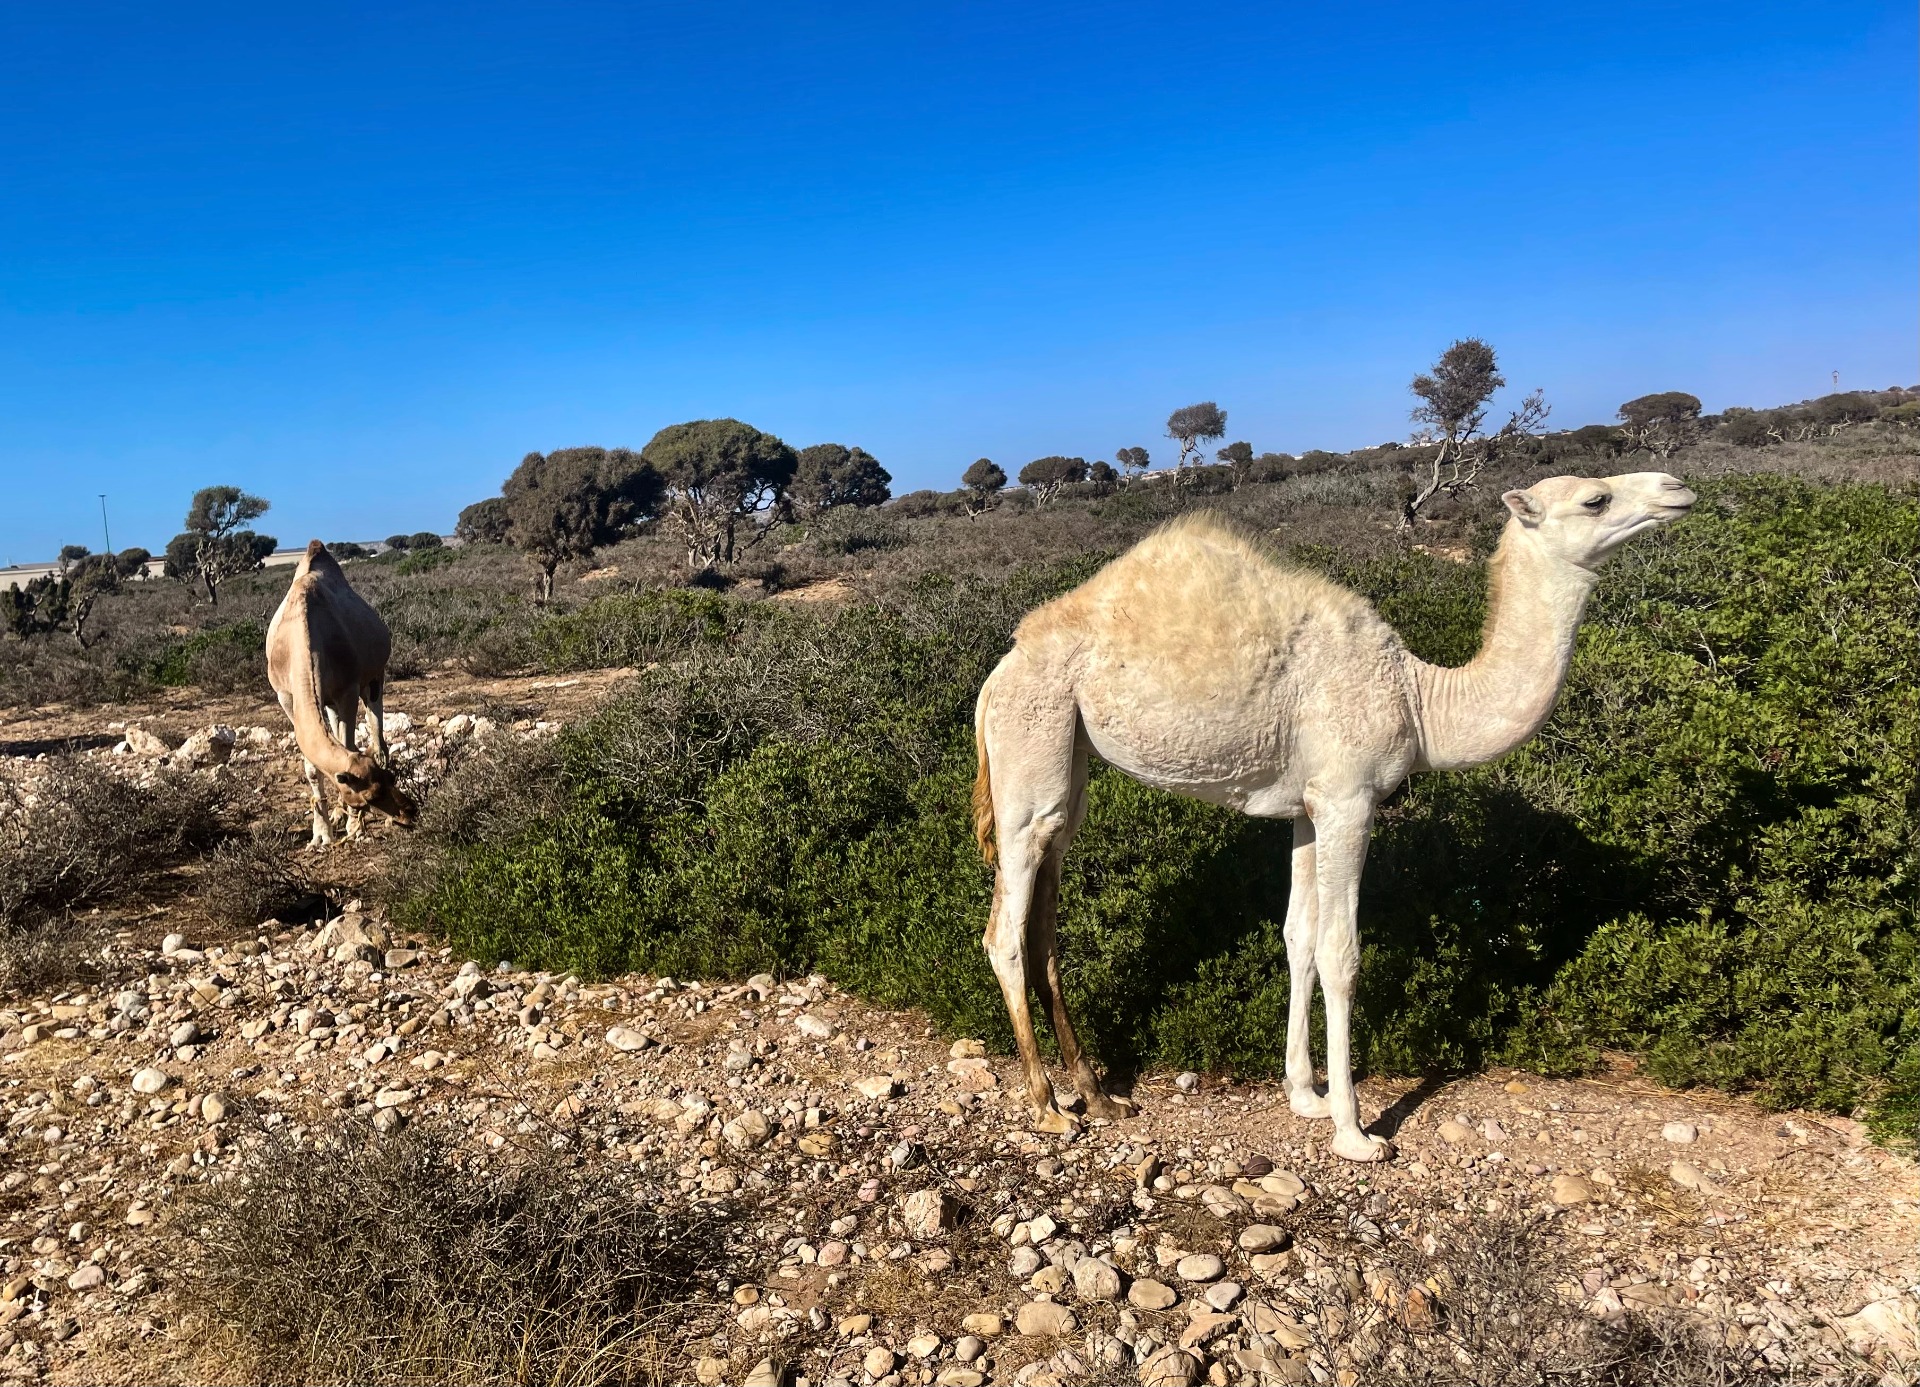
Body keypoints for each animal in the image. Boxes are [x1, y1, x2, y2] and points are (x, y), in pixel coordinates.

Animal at [266, 541, 417, 847]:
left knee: (377, 736)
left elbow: (351, 745)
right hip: (330, 700)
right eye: (371, 794)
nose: (410, 811)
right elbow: (313, 766)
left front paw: (356, 828)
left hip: (374, 678)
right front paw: (321, 834)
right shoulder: (287, 698)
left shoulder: (348, 689)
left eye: (390, 778)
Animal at [972, 471, 1695, 1161]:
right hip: (1030, 746)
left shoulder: (1308, 806)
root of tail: (995, 677)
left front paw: (1305, 1095)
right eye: (1595, 498)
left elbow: (1298, 937)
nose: (1677, 489)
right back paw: (1046, 1105)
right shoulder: (1352, 798)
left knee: (1045, 922)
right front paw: (1354, 1131)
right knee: (1004, 930)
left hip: (1069, 764)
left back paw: (1097, 1095)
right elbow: (1341, 952)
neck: (1420, 701)